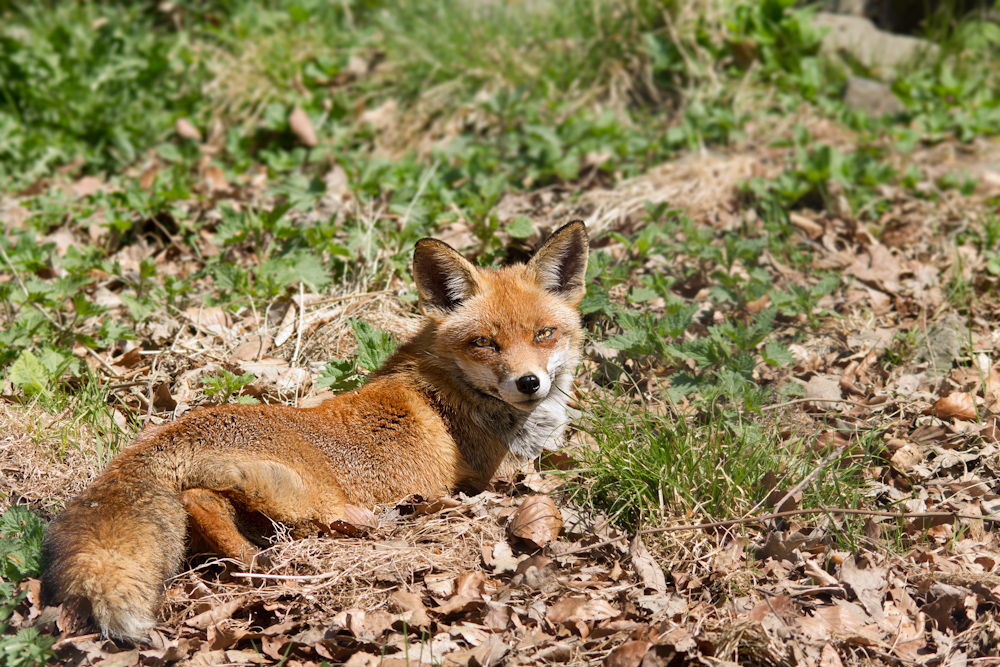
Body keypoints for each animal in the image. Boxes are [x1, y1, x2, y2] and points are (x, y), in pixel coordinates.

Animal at [41, 222, 584, 644]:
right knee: (209, 501)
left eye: (544, 334)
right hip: (307, 496)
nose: (529, 382)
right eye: (484, 343)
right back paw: (271, 558)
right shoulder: (498, 475)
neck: (453, 387)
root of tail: (171, 432)